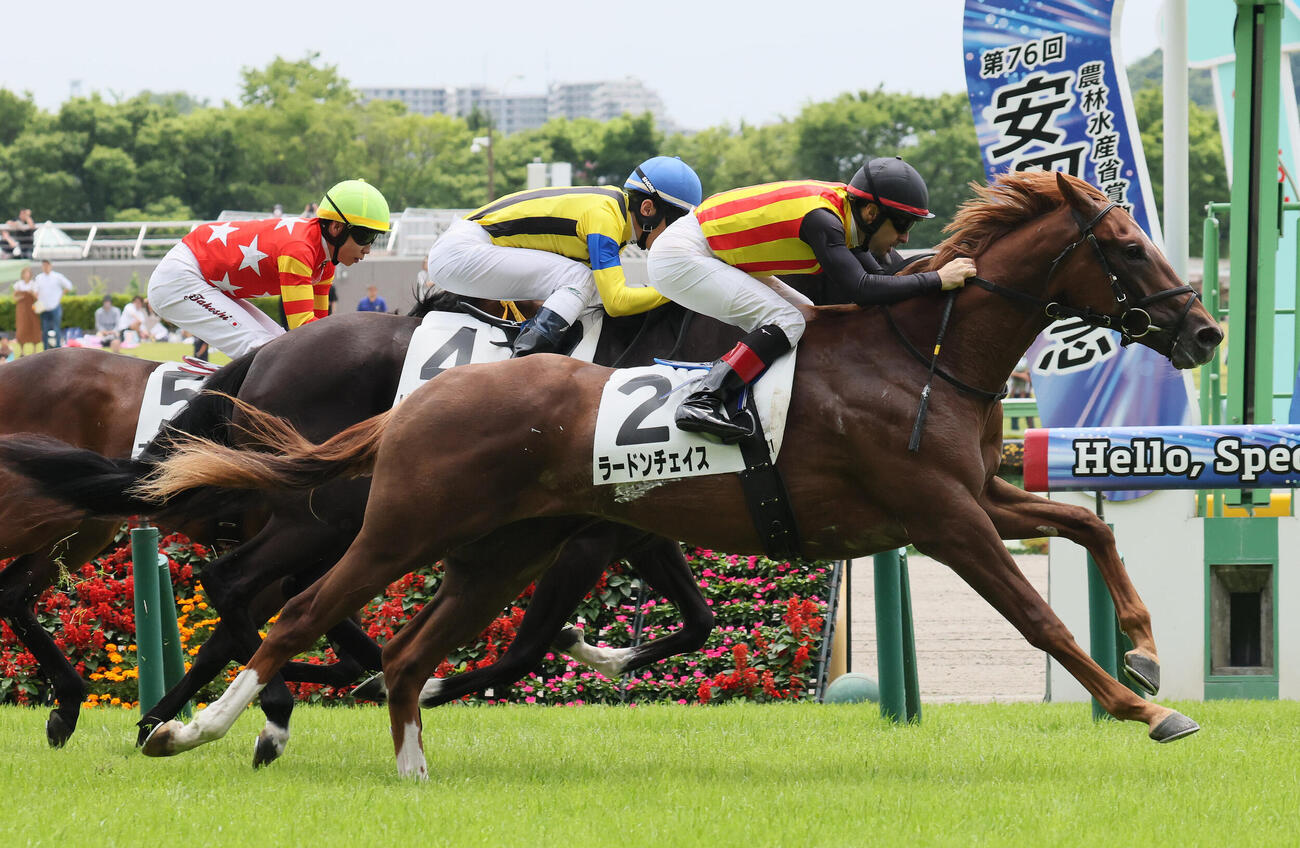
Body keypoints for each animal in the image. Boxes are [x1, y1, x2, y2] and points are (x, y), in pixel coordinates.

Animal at [114, 171, 1224, 777]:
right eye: (1128, 245)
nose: (1205, 331)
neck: (917, 351)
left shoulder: (976, 492)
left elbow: (1090, 526)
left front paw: (1144, 650)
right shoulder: (941, 518)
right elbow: (1039, 618)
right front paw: (1147, 706)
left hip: (495, 546)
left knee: (384, 638)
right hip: (373, 525)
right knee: (277, 602)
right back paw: (210, 721)